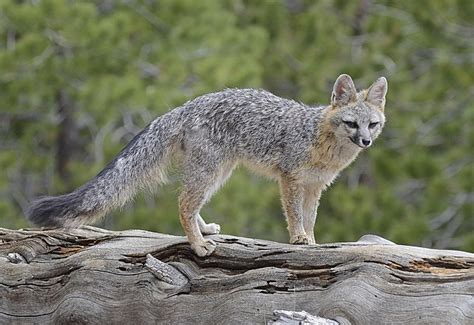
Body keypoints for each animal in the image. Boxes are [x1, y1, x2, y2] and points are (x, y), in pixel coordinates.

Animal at [27, 74, 386, 256]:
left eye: (373, 125)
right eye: (352, 124)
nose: (366, 142)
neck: (321, 141)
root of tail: (184, 106)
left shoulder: (315, 186)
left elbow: (310, 219)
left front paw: (312, 241)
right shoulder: (290, 179)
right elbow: (296, 216)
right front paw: (299, 239)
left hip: (218, 174)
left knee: (190, 203)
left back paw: (203, 231)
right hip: (210, 172)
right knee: (184, 204)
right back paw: (198, 245)